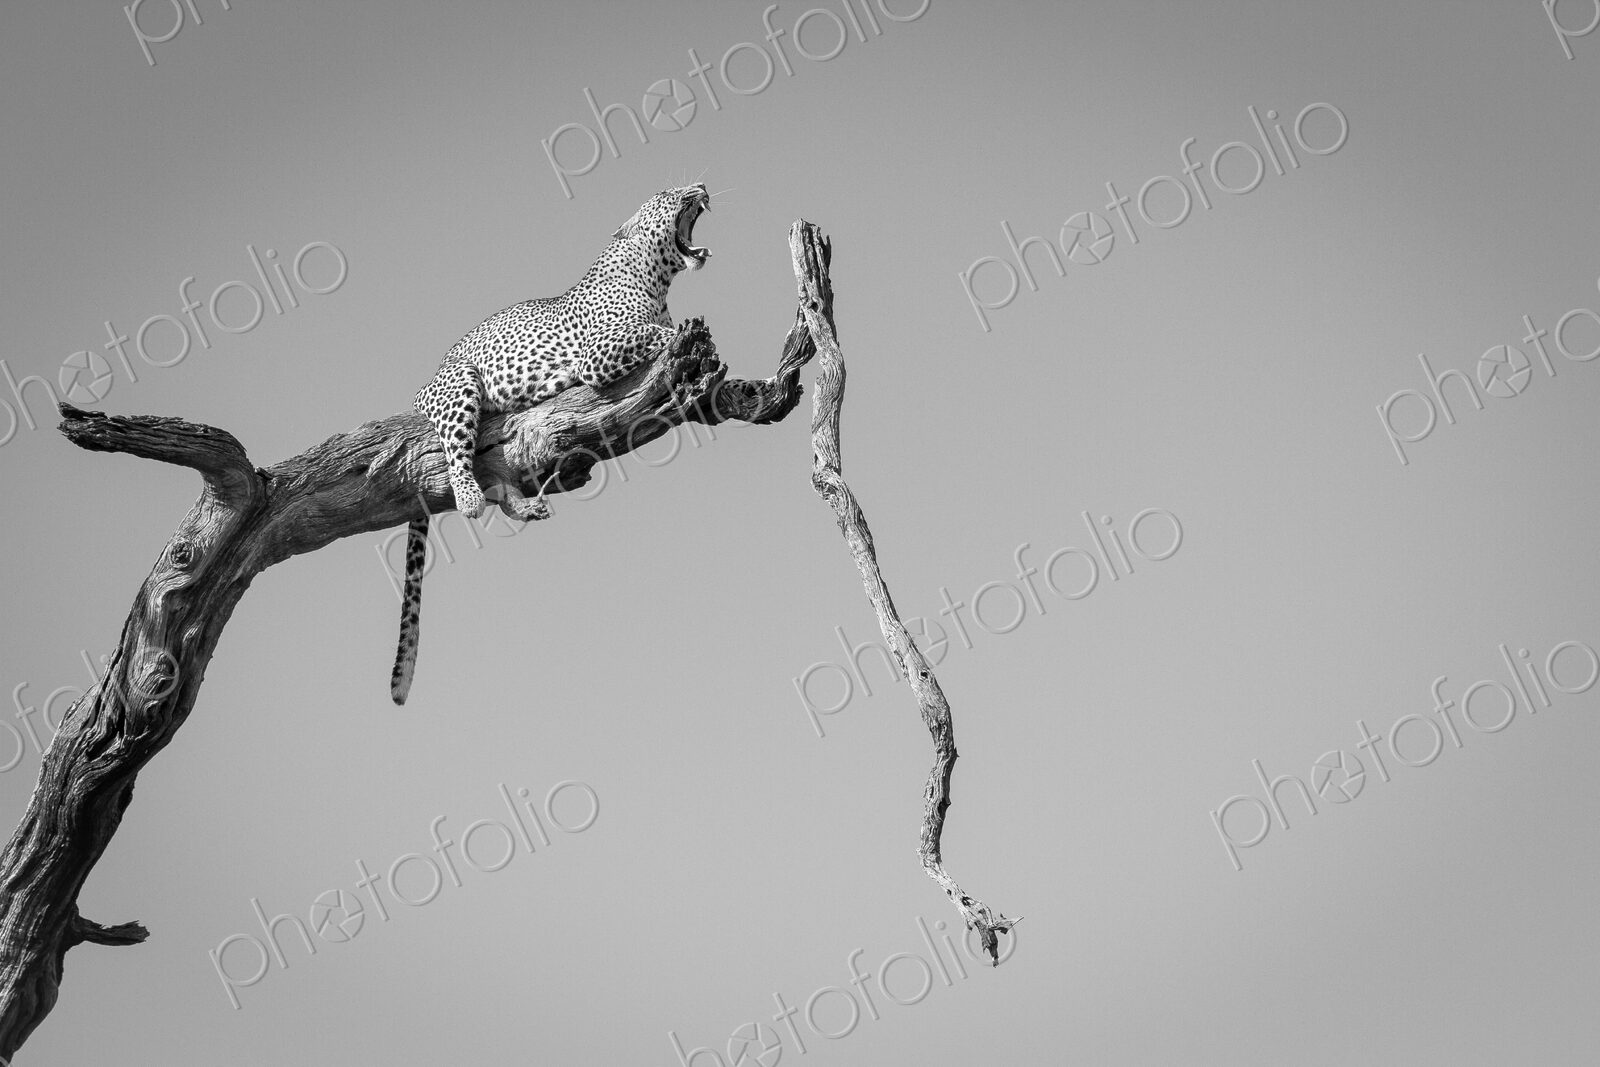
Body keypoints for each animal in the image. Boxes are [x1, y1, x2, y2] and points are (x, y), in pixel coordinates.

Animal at [389, 184, 711, 704]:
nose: (699, 189)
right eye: (666, 194)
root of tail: (419, 392)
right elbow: (658, 333)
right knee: (458, 458)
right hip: (460, 383)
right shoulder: (601, 351)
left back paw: (522, 505)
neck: (656, 278)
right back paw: (470, 497)